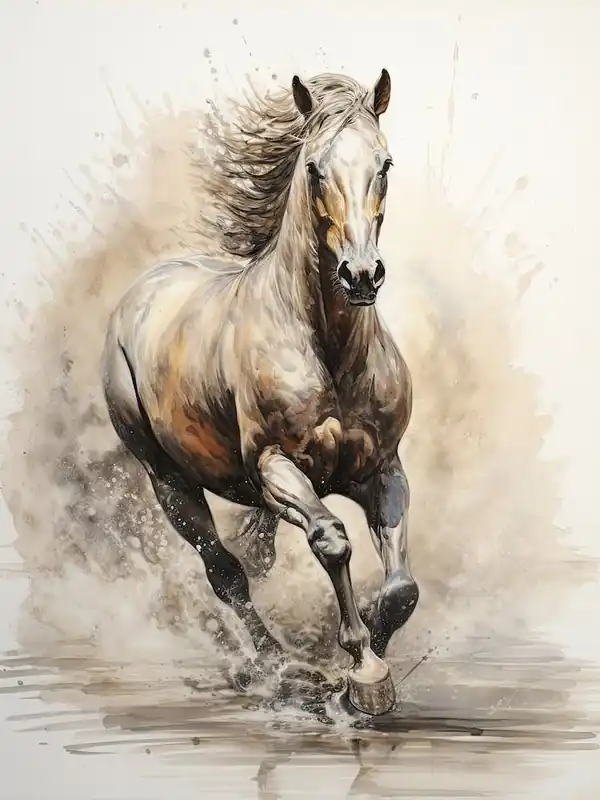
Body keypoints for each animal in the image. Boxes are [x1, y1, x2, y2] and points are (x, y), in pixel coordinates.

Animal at [101, 69, 419, 716]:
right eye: (316, 169)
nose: (360, 275)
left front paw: (369, 662)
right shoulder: (275, 467)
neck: (328, 350)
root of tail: (141, 292)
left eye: (386, 163)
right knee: (224, 571)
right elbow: (331, 540)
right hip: (167, 480)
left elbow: (402, 588)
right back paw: (277, 668)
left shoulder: (383, 470)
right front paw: (359, 671)